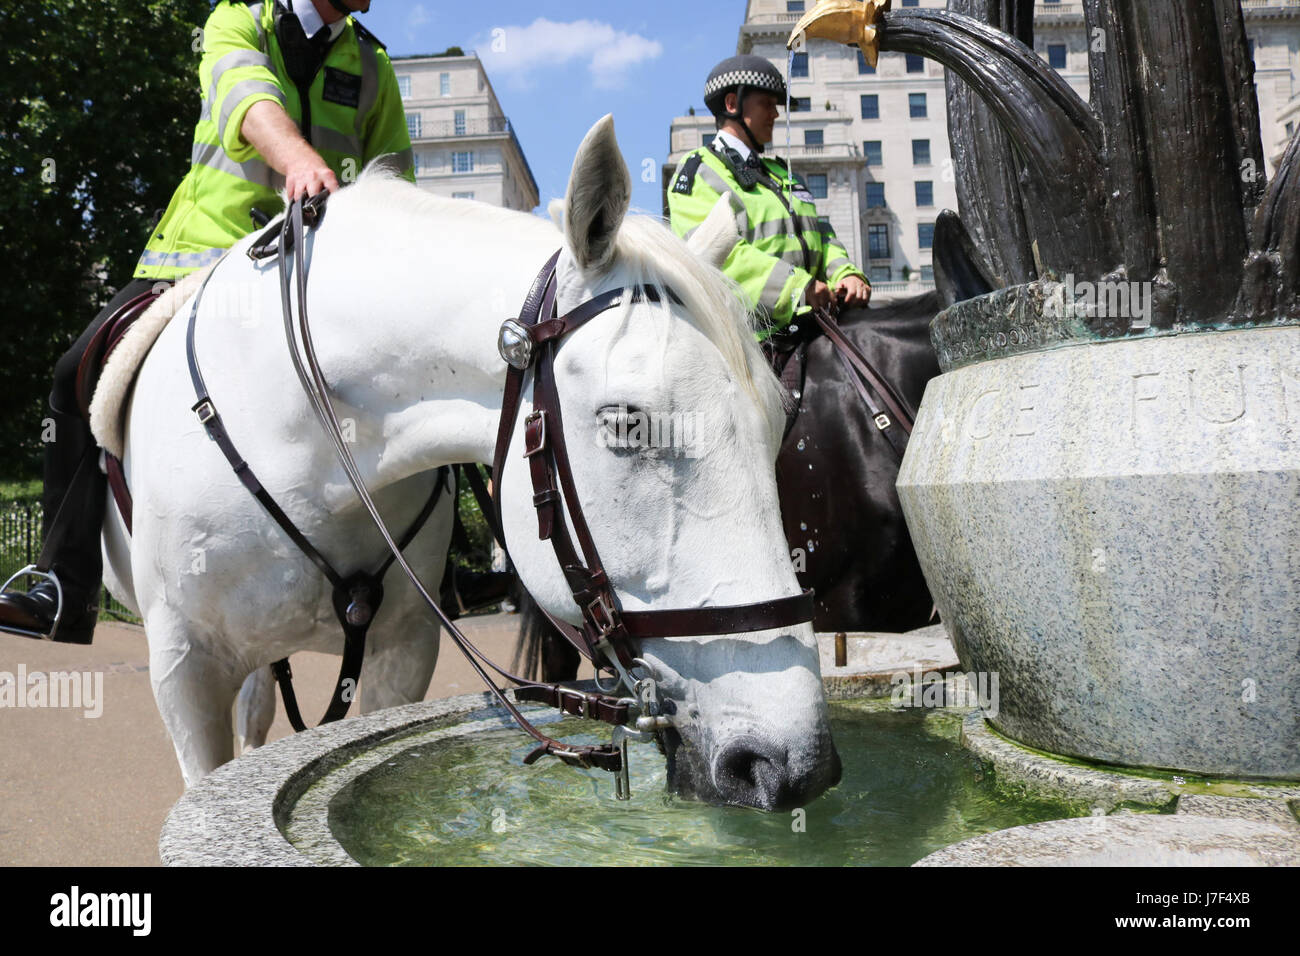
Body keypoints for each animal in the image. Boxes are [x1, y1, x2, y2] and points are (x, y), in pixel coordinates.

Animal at [96, 115, 837, 811]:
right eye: (627, 422)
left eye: (778, 424)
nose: (795, 763)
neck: (306, 446)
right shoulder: (184, 669)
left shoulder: (403, 651)